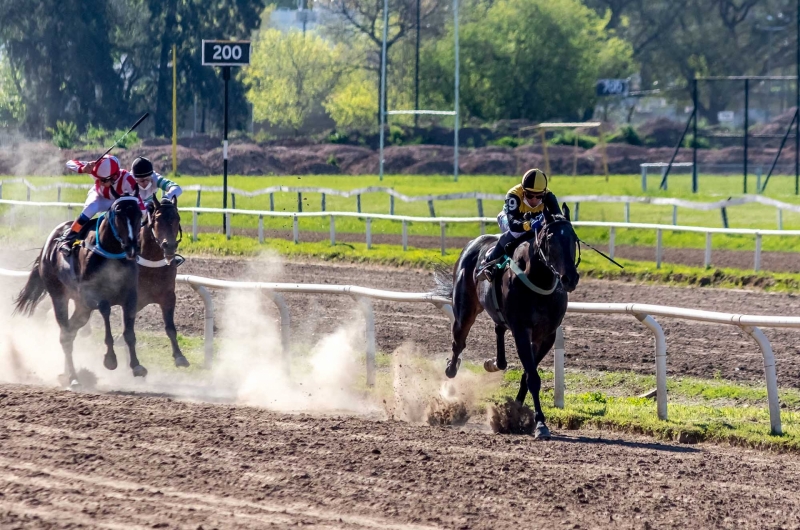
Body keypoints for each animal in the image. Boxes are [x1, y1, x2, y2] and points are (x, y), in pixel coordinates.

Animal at [14, 193, 145, 384]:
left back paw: (68, 373)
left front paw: (136, 366)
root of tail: (47, 245)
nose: (132, 248)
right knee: (65, 336)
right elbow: (105, 310)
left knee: (70, 331)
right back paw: (73, 377)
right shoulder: (92, 296)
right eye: (118, 214)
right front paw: (110, 359)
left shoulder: (130, 296)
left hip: (81, 307)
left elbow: (129, 333)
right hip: (59, 296)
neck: (111, 254)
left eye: (138, 215)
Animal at [138, 196, 189, 366]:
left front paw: (179, 356)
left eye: (177, 218)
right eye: (157, 219)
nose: (169, 245)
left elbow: (170, 328)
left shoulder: (168, 295)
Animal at [440, 202, 580, 438]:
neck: (539, 279)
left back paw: (494, 363)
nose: (570, 278)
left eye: (573, 237)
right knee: (458, 341)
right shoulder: (522, 330)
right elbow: (532, 377)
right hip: (465, 310)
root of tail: (472, 243)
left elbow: (527, 374)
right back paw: (452, 368)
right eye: (550, 238)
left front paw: (516, 412)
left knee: (499, 330)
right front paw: (540, 424)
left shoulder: (547, 335)